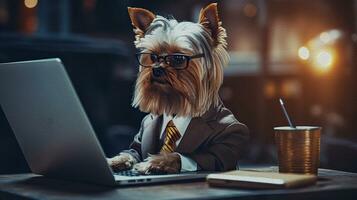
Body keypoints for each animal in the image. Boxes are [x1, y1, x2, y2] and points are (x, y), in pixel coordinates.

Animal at [107, 2, 249, 175]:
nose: (156, 69)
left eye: (178, 58)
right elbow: (132, 152)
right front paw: (113, 161)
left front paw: (152, 162)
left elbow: (184, 156)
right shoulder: (138, 142)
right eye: (153, 57)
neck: (177, 107)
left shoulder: (227, 144)